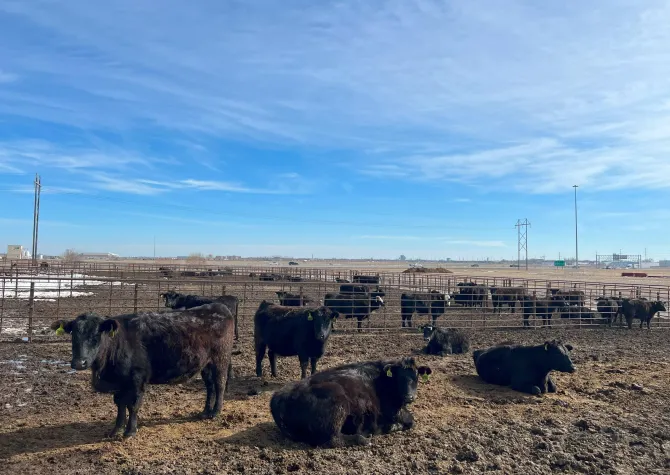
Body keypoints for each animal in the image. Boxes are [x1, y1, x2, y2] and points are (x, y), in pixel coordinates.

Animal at [50, 303, 235, 438]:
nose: (78, 363)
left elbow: (133, 405)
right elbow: (120, 405)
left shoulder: (137, 378)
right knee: (210, 386)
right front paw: (115, 430)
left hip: (221, 359)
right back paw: (205, 412)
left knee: (220, 384)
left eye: (96, 335)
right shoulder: (120, 383)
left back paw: (215, 412)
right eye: (73, 335)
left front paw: (130, 431)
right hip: (205, 364)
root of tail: (218, 306)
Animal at [270, 357, 432, 447]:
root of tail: (280, 396)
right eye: (399, 377)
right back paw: (364, 438)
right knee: (335, 440)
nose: (409, 397)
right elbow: (411, 420)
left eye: (416, 376)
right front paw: (391, 427)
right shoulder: (393, 410)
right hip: (338, 407)